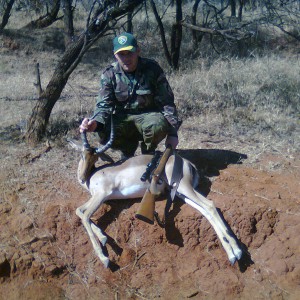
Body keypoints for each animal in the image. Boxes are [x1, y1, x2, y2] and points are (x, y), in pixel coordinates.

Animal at [67, 133, 241, 268]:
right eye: (82, 154)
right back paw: (233, 253)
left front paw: (104, 258)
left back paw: (237, 253)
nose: (82, 177)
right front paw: (103, 237)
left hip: (184, 188)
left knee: (210, 205)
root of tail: (187, 163)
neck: (94, 174)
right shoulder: (100, 197)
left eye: (95, 157)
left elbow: (85, 215)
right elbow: (79, 211)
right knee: (206, 210)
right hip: (180, 193)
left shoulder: (102, 194)